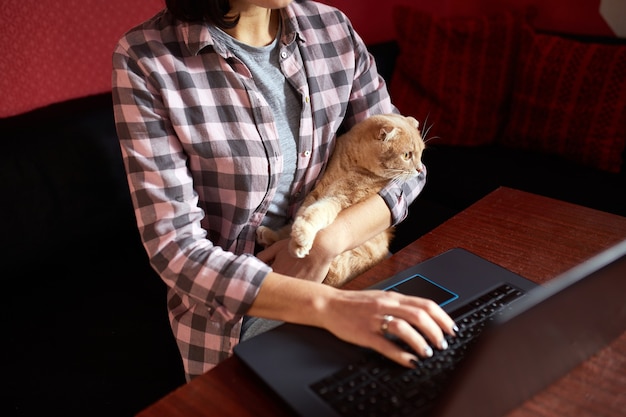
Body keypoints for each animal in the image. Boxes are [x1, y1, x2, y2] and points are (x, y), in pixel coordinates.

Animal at [255, 114, 424, 290]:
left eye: (421, 154)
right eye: (407, 155)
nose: (420, 169)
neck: (350, 166)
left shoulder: (338, 199)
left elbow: (315, 213)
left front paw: (300, 239)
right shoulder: (317, 191)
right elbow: (301, 216)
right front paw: (296, 238)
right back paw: (267, 235)